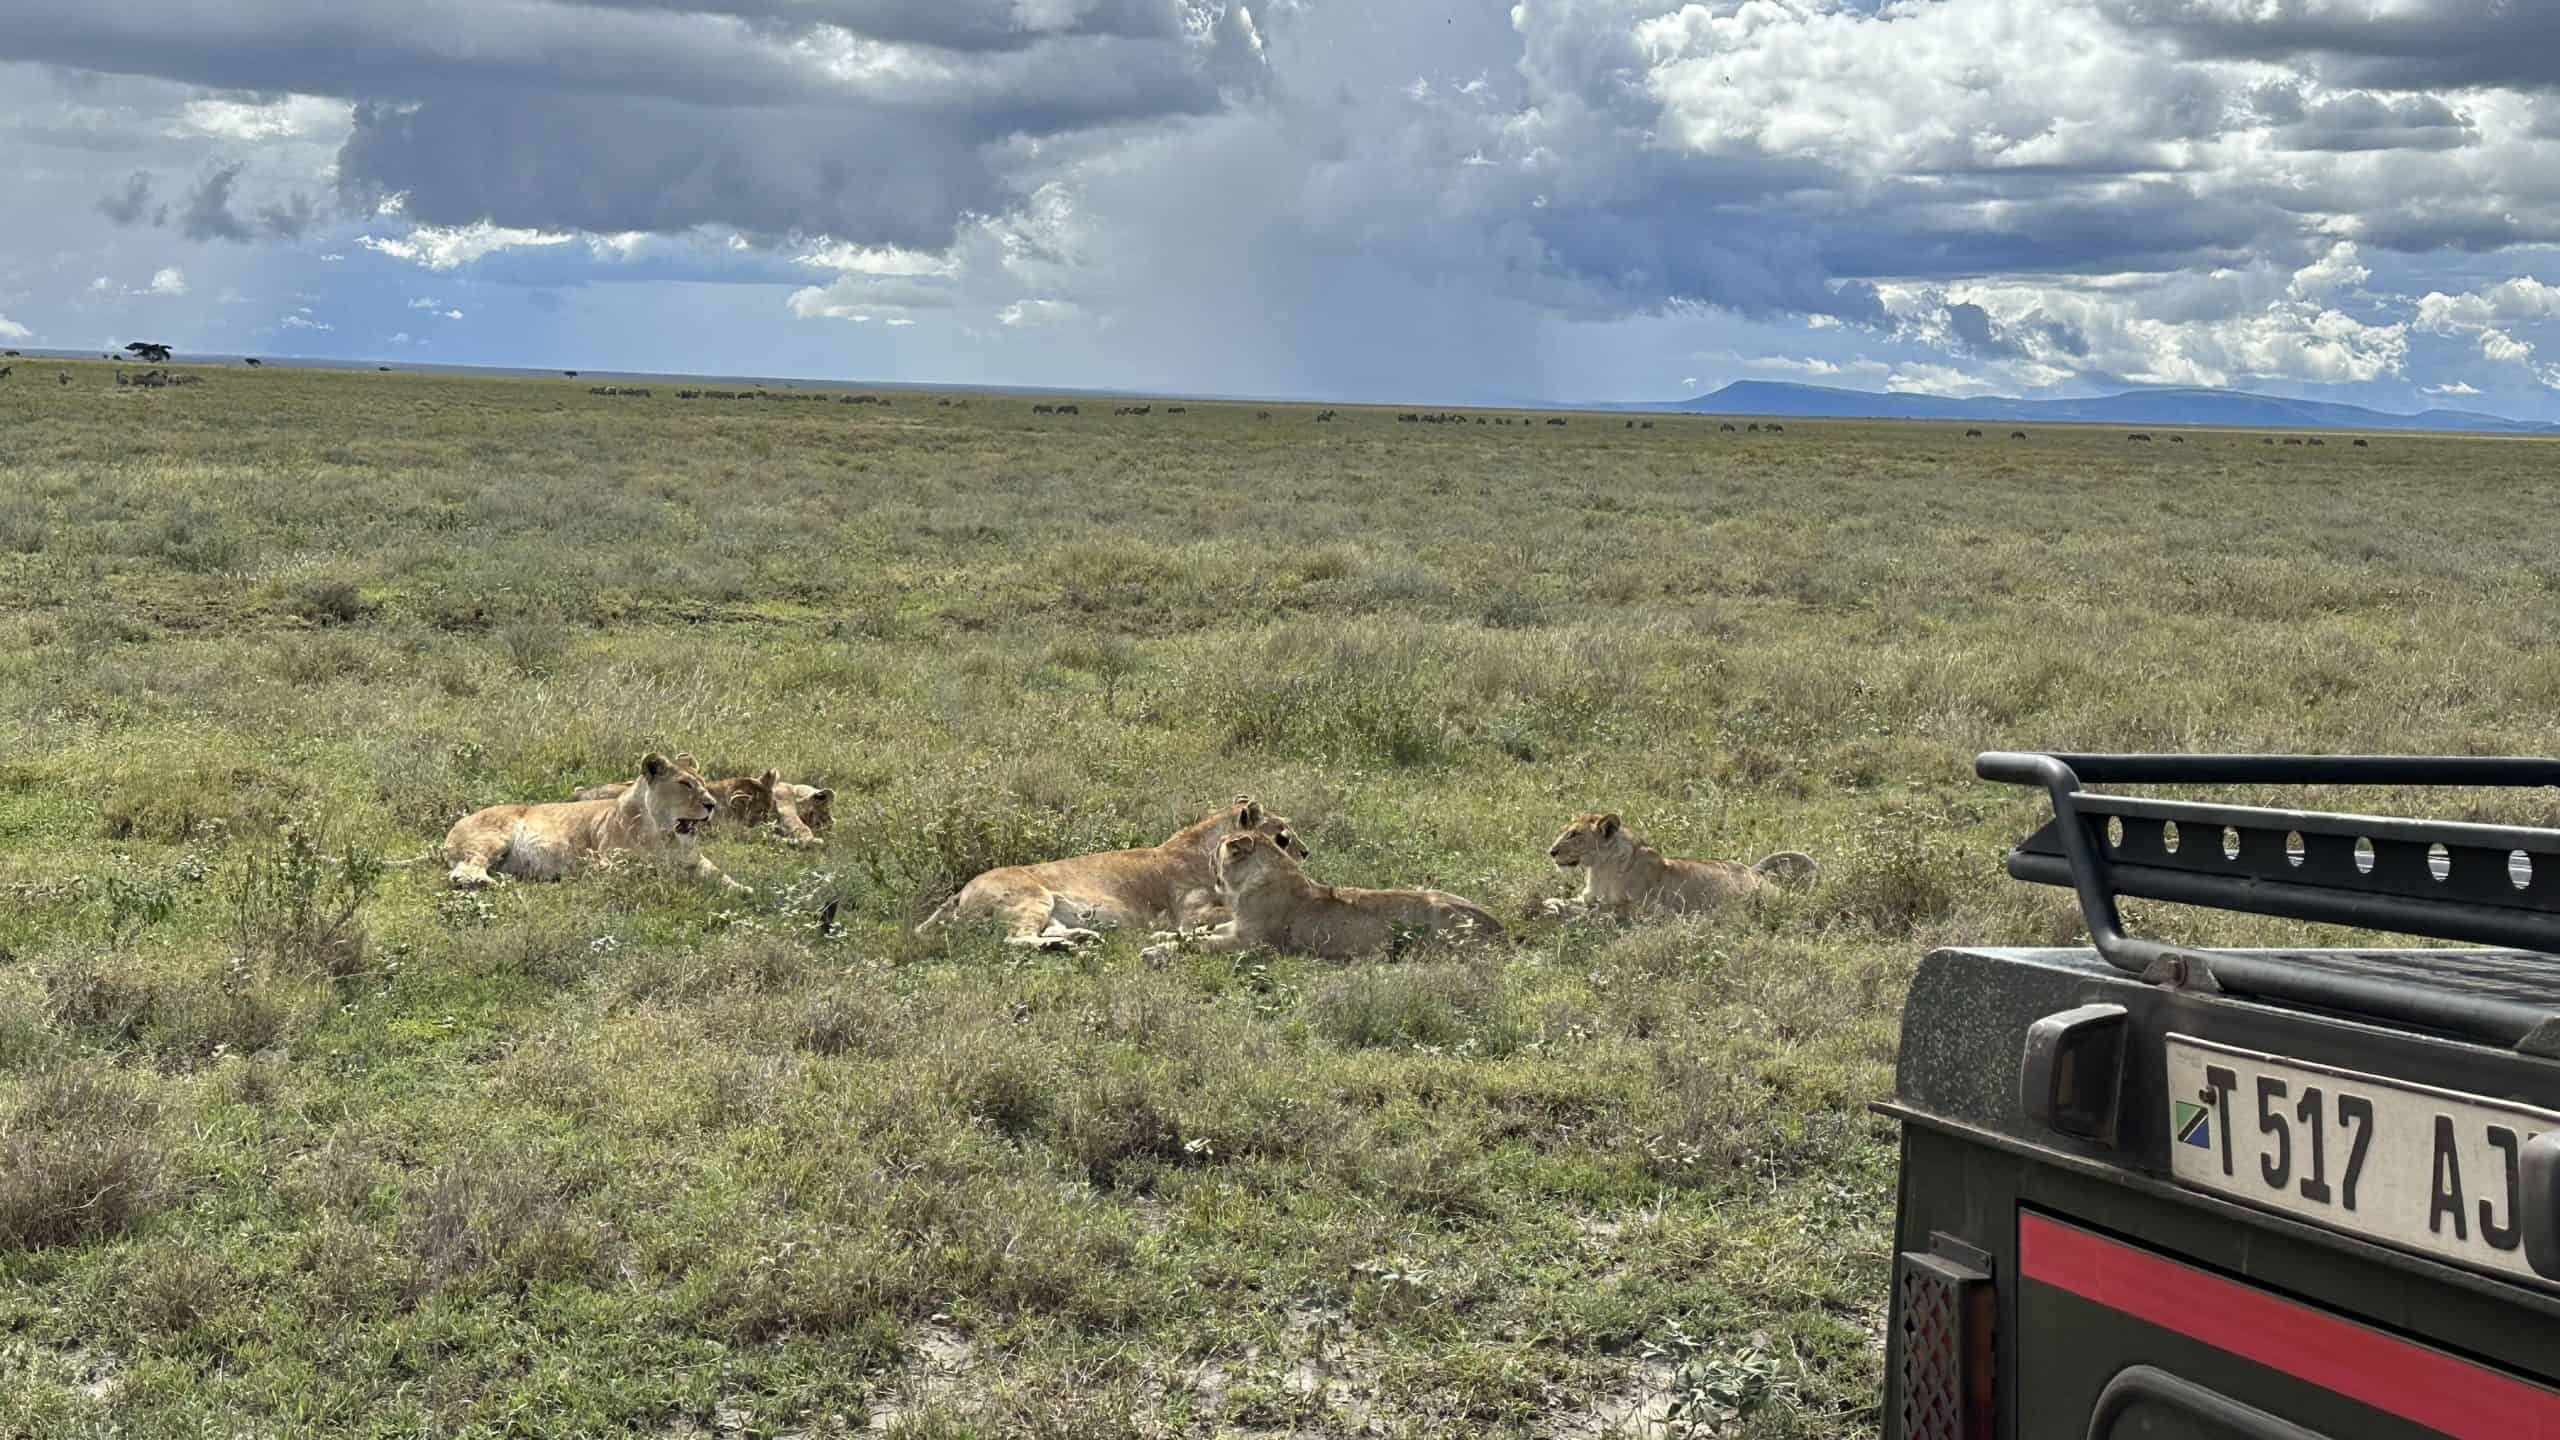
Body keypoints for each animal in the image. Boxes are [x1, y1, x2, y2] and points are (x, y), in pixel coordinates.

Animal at [431, 751, 750, 893]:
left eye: (703, 783)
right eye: (685, 784)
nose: (711, 805)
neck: (665, 836)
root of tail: (454, 828)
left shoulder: (696, 860)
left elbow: (720, 875)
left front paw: (744, 890)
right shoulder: (609, 865)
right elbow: (655, 872)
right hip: (492, 839)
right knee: (464, 870)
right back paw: (489, 882)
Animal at [914, 795, 1307, 949]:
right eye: (1283, 837)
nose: (1307, 852)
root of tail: (960, 891)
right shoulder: (1189, 916)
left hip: (1051, 910)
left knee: (1044, 933)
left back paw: (1079, 938)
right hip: (1032, 897)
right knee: (1014, 939)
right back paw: (1067, 943)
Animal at [1169, 829, 1502, 960]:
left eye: (1217, 849)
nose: (1207, 857)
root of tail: (1500, 927)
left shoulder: (1252, 942)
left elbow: (1202, 943)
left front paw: (1161, 951)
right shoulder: (1238, 926)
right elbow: (1199, 931)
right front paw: (1165, 937)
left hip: (1439, 915)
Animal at [1541, 813, 1815, 919]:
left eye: (1574, 834)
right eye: (1566, 830)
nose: (1551, 851)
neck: (1599, 868)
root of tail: (1753, 871)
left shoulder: (1649, 909)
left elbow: (1605, 909)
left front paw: (1565, 911)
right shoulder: (1589, 894)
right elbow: (1577, 901)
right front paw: (1552, 903)